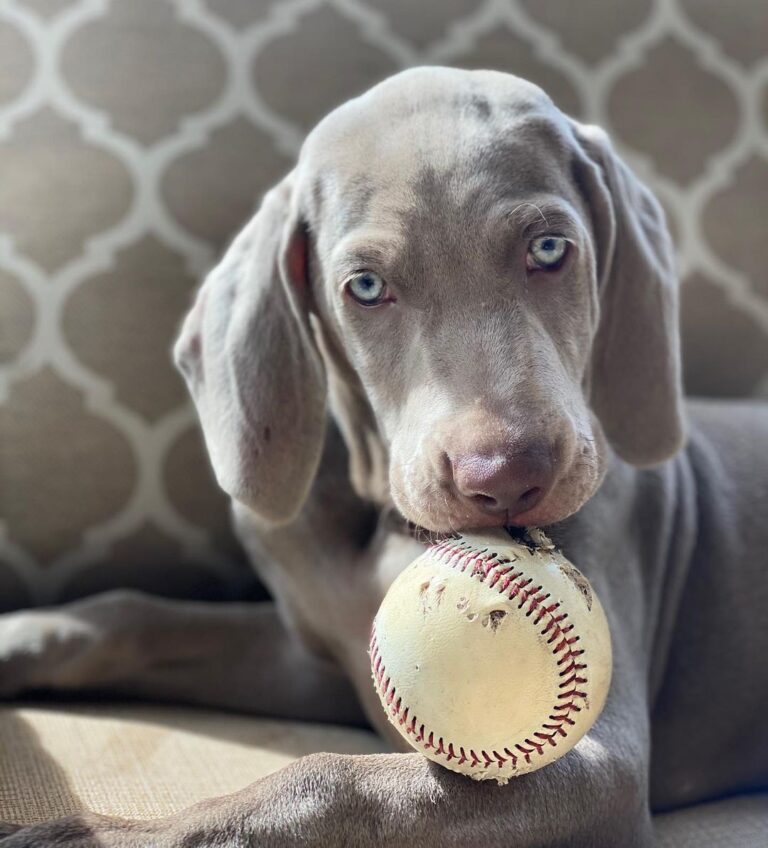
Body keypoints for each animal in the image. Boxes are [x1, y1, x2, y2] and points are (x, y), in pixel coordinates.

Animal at [1, 68, 768, 848]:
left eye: (550, 249)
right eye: (366, 287)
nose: (508, 479)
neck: (384, 521)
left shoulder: (600, 775)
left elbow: (335, 782)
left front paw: (100, 834)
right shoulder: (318, 661)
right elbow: (138, 616)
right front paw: (19, 636)